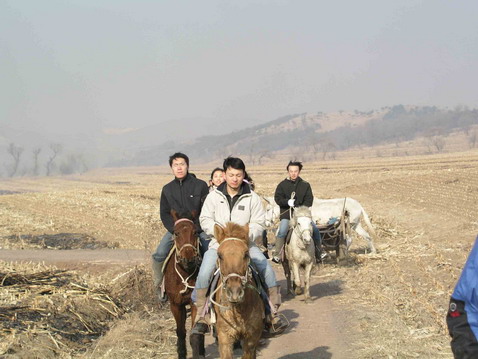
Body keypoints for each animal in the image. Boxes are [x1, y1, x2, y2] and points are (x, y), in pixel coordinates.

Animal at [164, 211, 202, 359]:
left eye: (195, 232)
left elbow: (194, 331)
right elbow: (180, 332)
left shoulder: (194, 303)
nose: (188, 259)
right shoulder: (175, 305)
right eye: (176, 233)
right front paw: (181, 353)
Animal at [213, 222, 266, 359]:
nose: (235, 293)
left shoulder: (251, 337)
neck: (238, 310)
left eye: (246, 254)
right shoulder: (225, 336)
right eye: (219, 255)